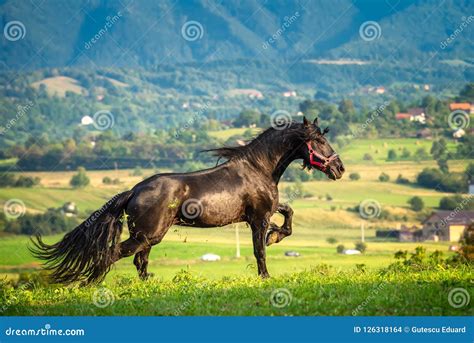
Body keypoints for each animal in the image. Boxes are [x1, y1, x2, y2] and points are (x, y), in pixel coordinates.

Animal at [32, 118, 344, 284]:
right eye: (319, 142)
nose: (340, 169)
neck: (258, 168)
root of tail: (134, 190)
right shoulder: (258, 218)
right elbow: (260, 251)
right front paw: (266, 272)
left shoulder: (265, 210)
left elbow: (288, 214)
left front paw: (276, 236)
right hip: (148, 235)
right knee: (114, 254)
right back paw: (91, 284)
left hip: (147, 237)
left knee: (139, 261)